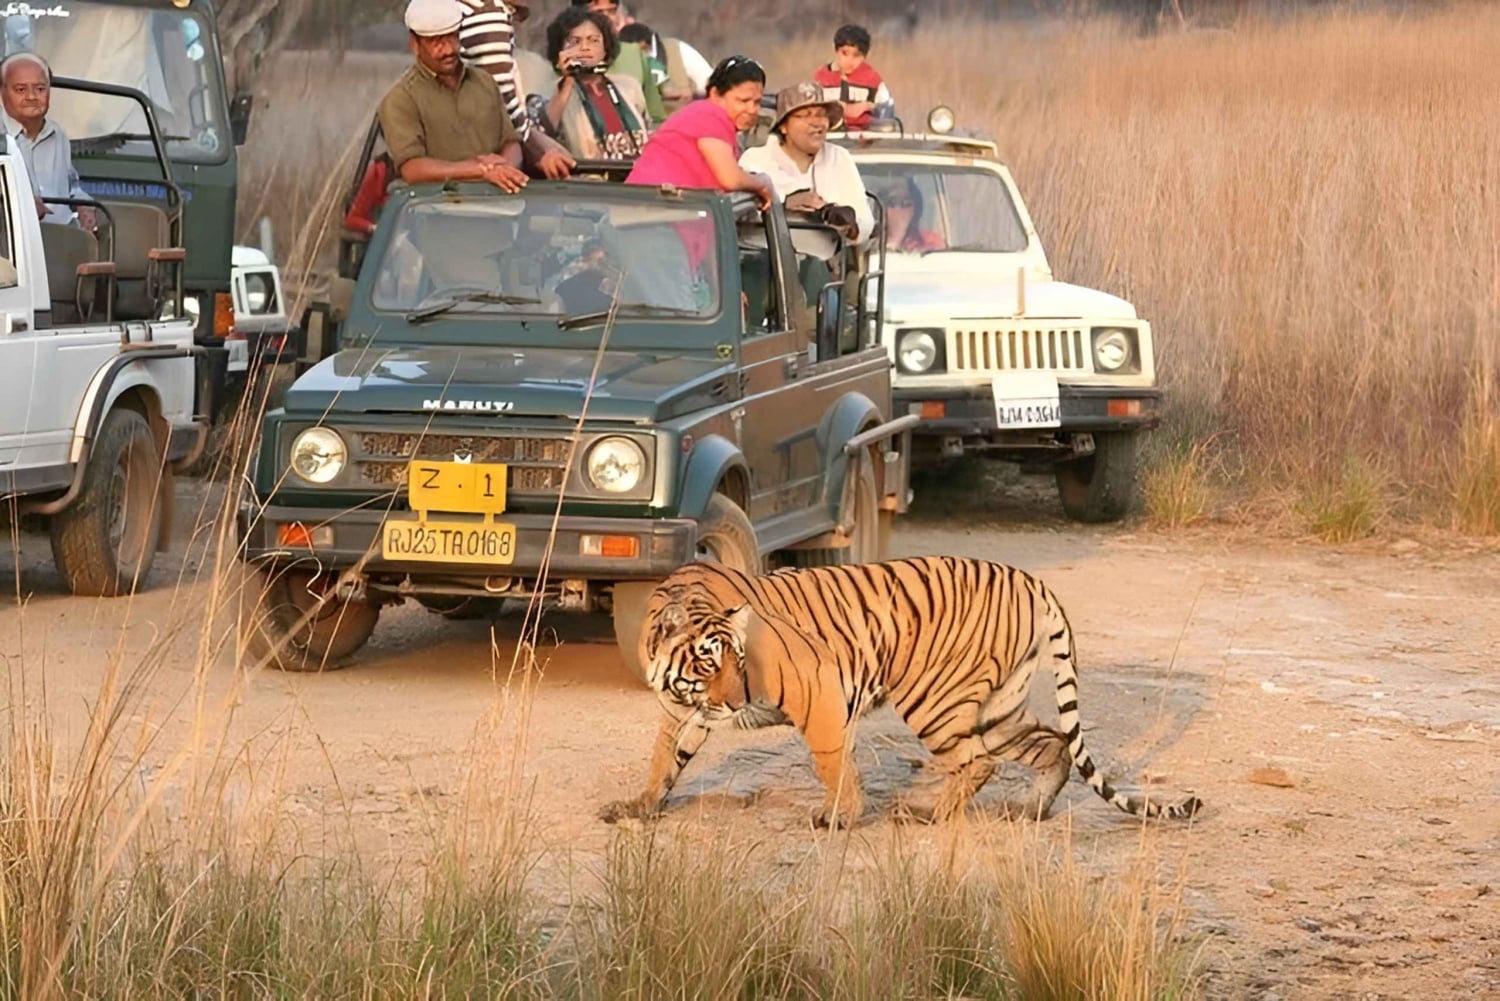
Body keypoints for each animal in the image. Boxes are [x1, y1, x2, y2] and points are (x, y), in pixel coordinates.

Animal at [599, 556, 1202, 829]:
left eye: (739, 661)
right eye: (709, 662)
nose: (734, 702)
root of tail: (1032, 580)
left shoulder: (819, 690)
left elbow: (833, 762)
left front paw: (839, 817)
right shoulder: (683, 713)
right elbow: (663, 760)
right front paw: (640, 806)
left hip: (934, 700)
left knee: (979, 762)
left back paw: (927, 814)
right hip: (998, 709)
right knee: (1051, 742)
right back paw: (1029, 809)